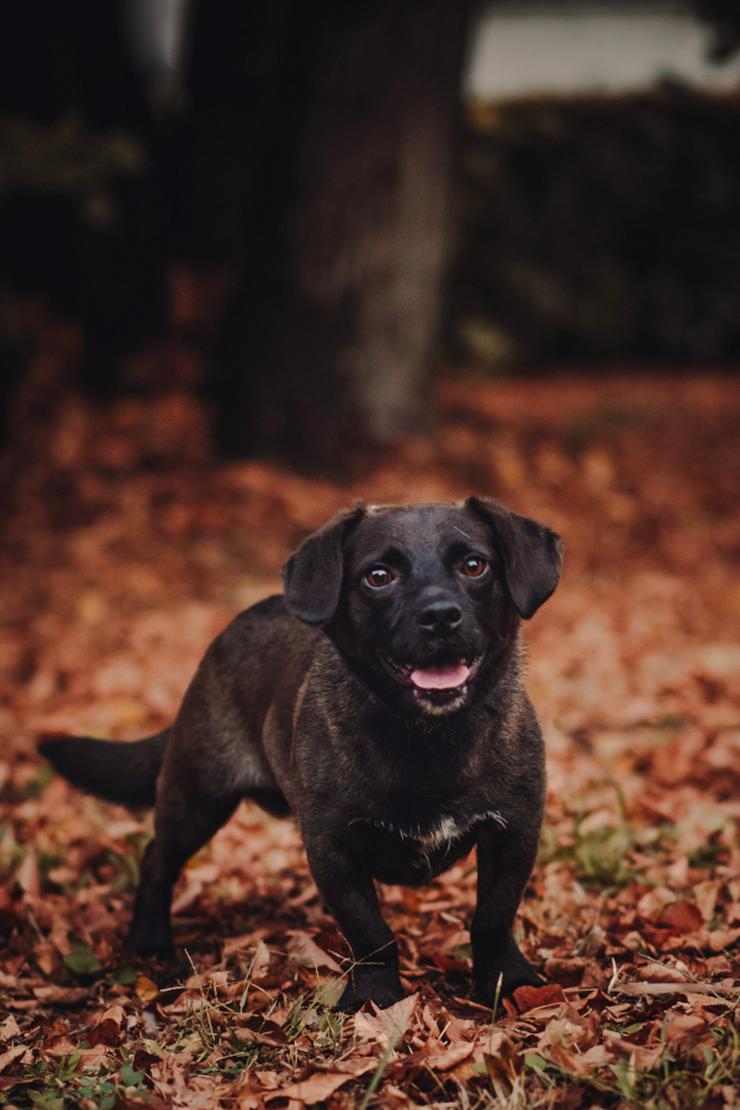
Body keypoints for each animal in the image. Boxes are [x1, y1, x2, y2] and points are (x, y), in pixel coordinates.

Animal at [40, 499, 561, 1012]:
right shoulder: (334, 849)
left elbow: (492, 918)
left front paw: (509, 982)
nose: (438, 615)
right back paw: (148, 941)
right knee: (155, 861)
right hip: (195, 801)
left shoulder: (513, 836)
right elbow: (372, 934)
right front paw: (376, 996)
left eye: (474, 565)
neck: (429, 737)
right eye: (378, 576)